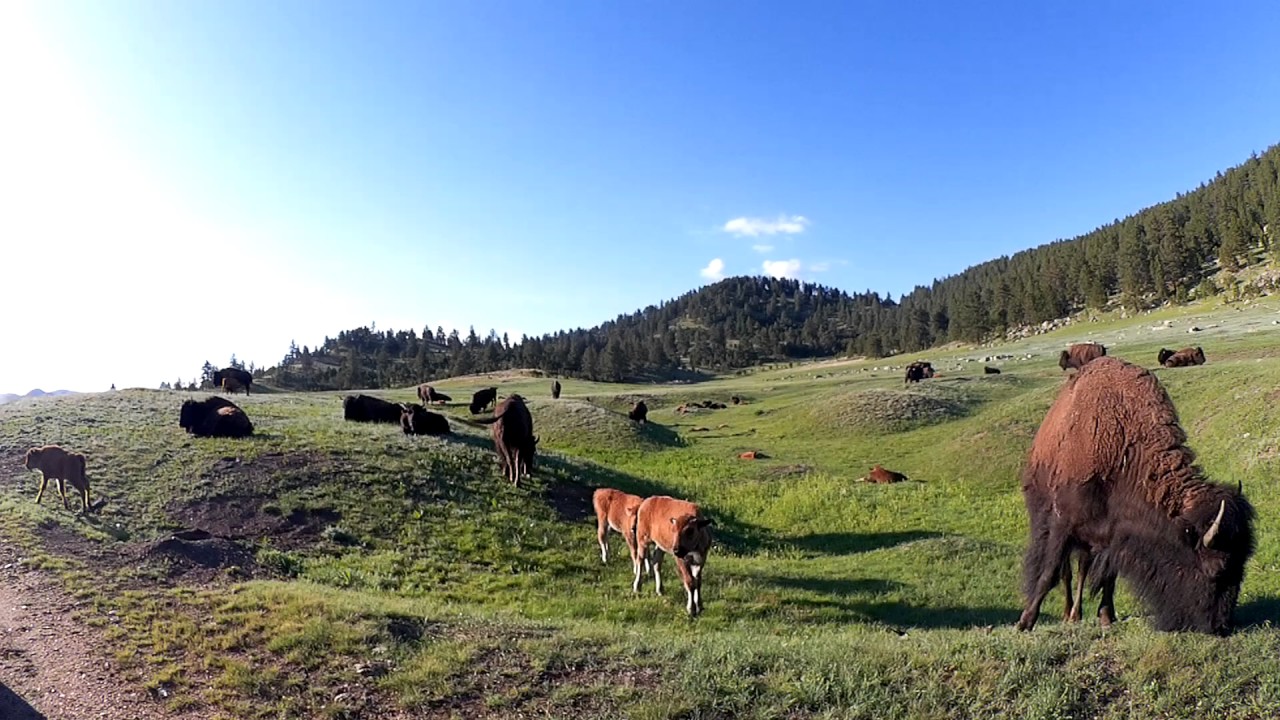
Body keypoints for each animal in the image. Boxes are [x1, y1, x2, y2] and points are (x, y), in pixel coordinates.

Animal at [1016, 357, 1254, 635]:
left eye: (1243, 562)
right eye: (1217, 569)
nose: (1220, 626)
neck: (1124, 452)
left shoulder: (1113, 535)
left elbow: (1109, 576)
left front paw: (1107, 617)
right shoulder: (1063, 524)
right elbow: (1050, 573)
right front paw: (1025, 622)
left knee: (1083, 568)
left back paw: (1076, 614)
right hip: (1047, 518)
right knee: (1064, 571)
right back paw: (1068, 614)